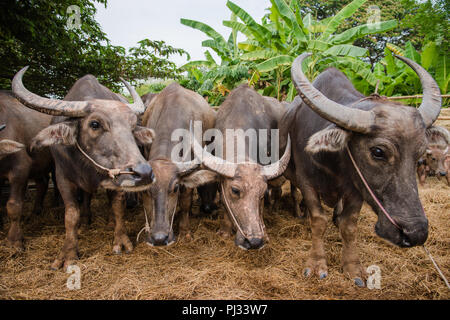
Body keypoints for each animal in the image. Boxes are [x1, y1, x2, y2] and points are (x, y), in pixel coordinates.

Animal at [11, 67, 155, 270]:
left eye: (133, 126)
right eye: (94, 124)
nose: (144, 173)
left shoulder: (117, 180)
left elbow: (118, 206)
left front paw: (120, 240)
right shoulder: (62, 177)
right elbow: (71, 215)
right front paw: (68, 254)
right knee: (85, 197)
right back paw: (86, 220)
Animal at [191, 85, 292, 250]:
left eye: (261, 193)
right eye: (235, 190)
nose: (254, 241)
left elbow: (260, 208)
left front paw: (265, 233)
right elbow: (225, 203)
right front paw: (225, 231)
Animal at [284, 53, 442, 288]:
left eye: (420, 154)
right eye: (378, 151)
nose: (416, 233)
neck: (333, 162)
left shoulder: (357, 188)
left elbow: (349, 226)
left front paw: (353, 268)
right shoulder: (306, 181)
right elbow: (318, 220)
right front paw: (317, 264)